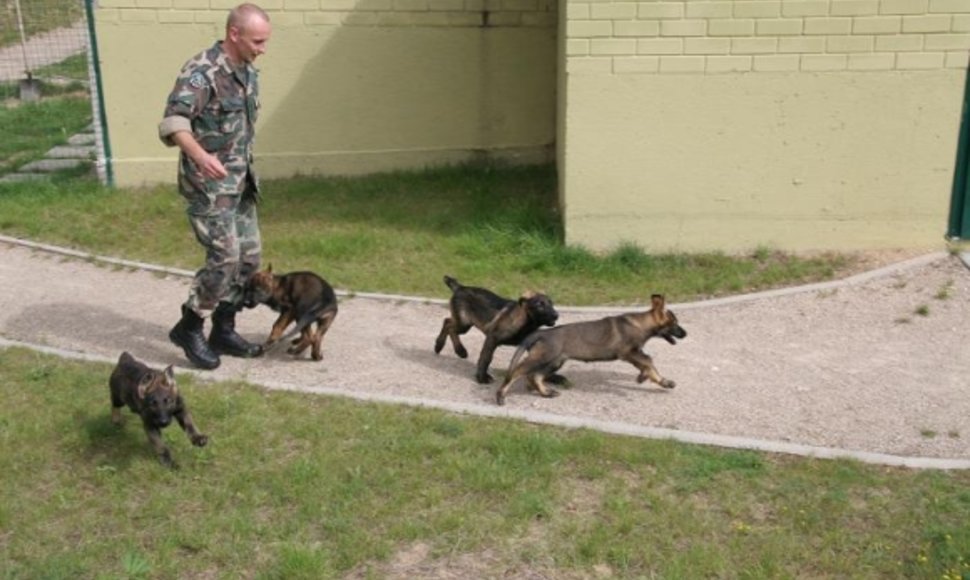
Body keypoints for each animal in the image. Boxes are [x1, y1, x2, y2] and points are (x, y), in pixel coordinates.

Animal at [432, 276, 560, 386]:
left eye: (551, 304)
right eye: (540, 305)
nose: (556, 315)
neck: (526, 323)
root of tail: (460, 287)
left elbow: (541, 360)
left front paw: (553, 377)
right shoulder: (492, 338)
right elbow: (486, 358)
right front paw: (482, 377)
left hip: (463, 322)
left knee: (447, 321)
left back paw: (450, 348)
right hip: (464, 323)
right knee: (449, 326)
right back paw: (451, 347)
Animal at [496, 294, 684, 404]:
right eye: (674, 324)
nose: (685, 333)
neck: (641, 324)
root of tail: (541, 333)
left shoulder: (634, 354)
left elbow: (646, 366)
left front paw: (653, 379)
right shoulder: (629, 352)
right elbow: (649, 361)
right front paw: (657, 379)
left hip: (554, 361)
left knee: (535, 376)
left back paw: (546, 393)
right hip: (542, 358)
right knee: (517, 372)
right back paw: (501, 395)